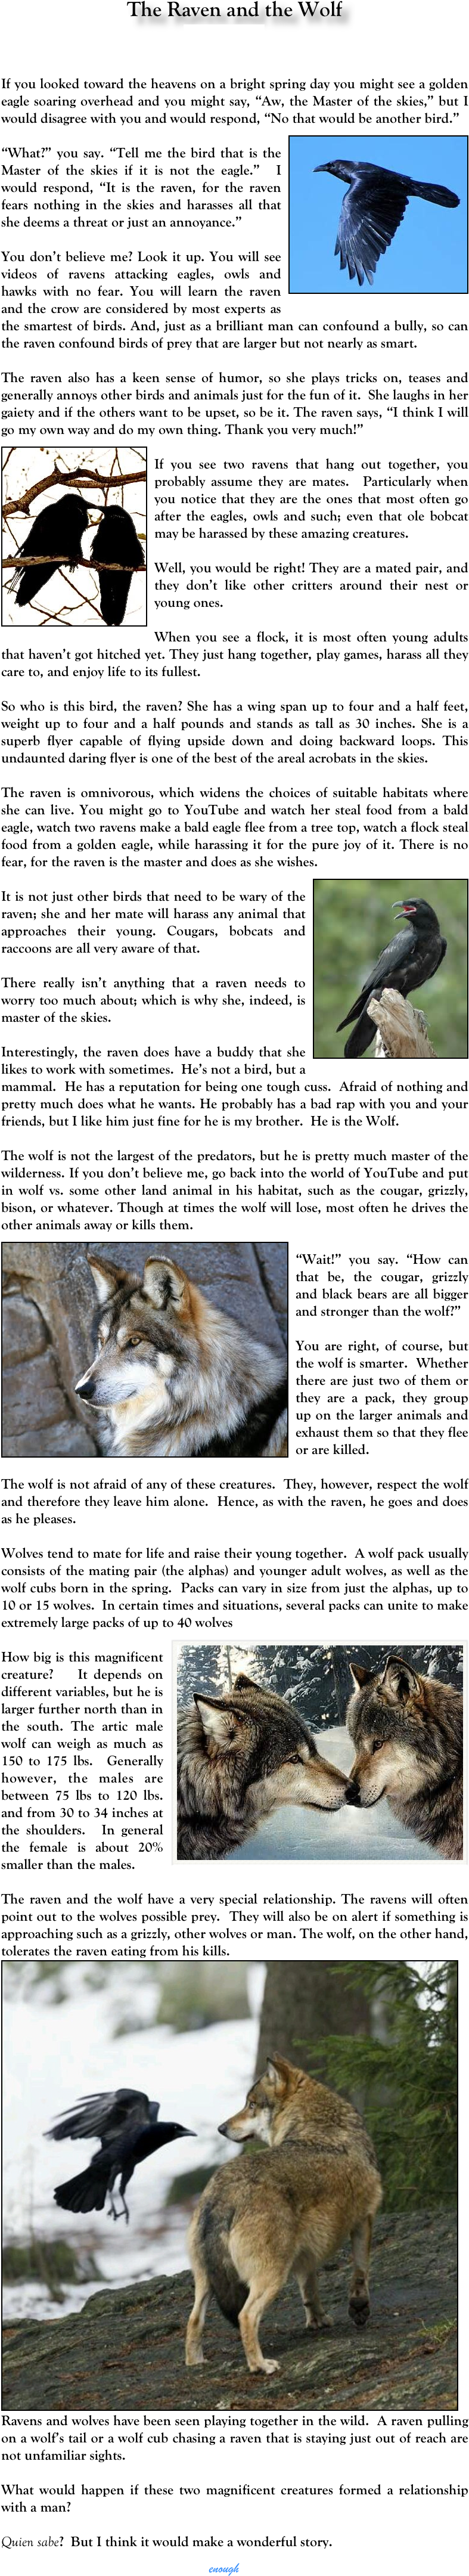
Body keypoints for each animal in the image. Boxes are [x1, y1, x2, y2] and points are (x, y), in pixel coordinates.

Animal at [186, 2050, 382, 2376]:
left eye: (251, 2104)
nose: (221, 2128)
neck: (317, 2122)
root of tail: (222, 2196)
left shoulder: (306, 2252)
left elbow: (309, 2289)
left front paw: (317, 2321)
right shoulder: (364, 2220)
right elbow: (361, 2272)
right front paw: (359, 2309)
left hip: (206, 2283)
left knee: (193, 2321)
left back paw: (196, 2363)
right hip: (271, 2276)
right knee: (246, 2316)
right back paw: (261, 2366)